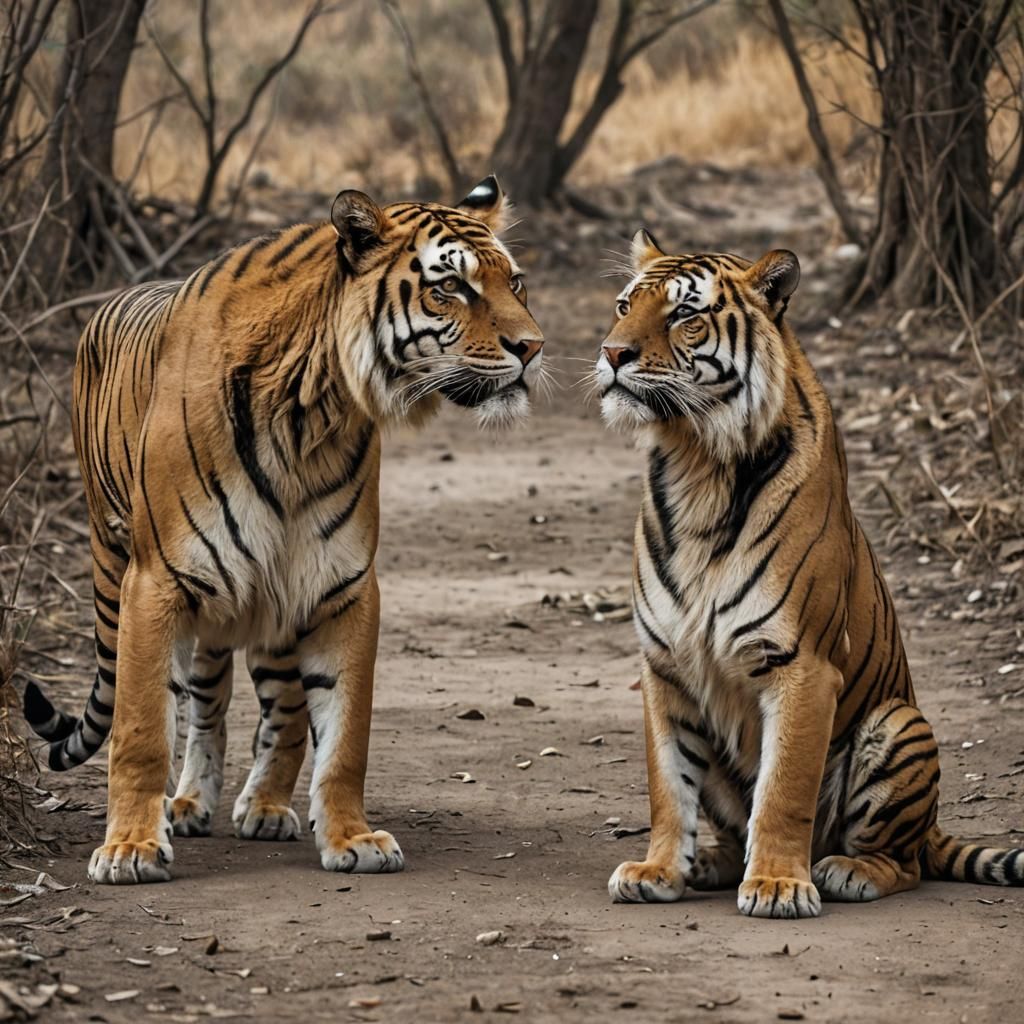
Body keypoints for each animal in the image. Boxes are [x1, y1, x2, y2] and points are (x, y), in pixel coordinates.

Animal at [23, 176, 544, 885]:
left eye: (514, 283)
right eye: (451, 287)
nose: (533, 348)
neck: (311, 408)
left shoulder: (342, 587)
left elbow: (345, 736)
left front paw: (352, 837)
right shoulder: (156, 584)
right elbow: (141, 731)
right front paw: (130, 848)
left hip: (271, 603)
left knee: (283, 715)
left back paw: (266, 807)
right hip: (118, 571)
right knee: (202, 705)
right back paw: (187, 804)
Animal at [596, 229, 1023, 918]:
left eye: (685, 314)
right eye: (623, 306)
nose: (612, 353)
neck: (695, 461)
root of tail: (934, 828)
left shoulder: (801, 664)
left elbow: (784, 790)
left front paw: (776, 884)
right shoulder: (664, 669)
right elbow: (668, 786)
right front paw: (658, 869)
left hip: (898, 724)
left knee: (905, 863)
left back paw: (847, 870)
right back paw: (709, 863)